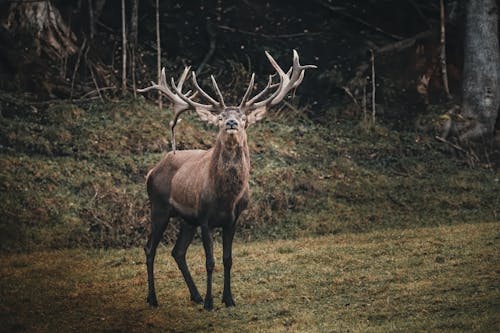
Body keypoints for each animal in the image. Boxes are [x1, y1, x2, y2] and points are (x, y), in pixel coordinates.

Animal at [139, 50, 314, 310]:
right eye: (221, 117)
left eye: (243, 118)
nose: (231, 123)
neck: (226, 198)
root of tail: (151, 171)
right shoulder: (204, 217)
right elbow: (210, 262)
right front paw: (210, 303)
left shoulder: (233, 219)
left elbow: (228, 259)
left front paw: (228, 299)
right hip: (159, 206)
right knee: (150, 248)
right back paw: (153, 298)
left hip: (186, 219)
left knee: (177, 252)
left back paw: (195, 295)